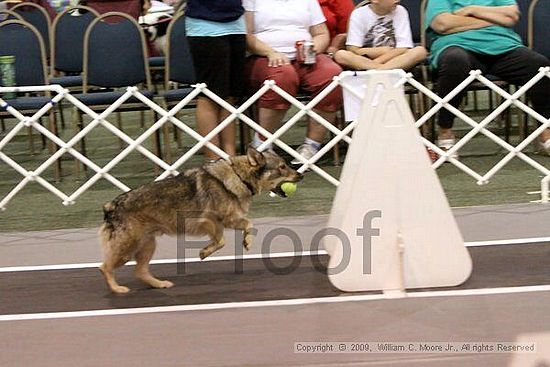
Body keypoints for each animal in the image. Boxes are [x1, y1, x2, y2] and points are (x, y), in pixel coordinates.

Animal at [101, 148, 304, 294]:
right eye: (282, 167)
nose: (302, 174)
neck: (239, 176)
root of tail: (111, 205)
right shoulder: (210, 221)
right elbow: (222, 241)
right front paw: (205, 252)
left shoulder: (228, 220)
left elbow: (249, 226)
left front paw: (246, 241)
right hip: (128, 249)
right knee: (105, 267)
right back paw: (117, 289)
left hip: (147, 245)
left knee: (139, 271)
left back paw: (159, 284)